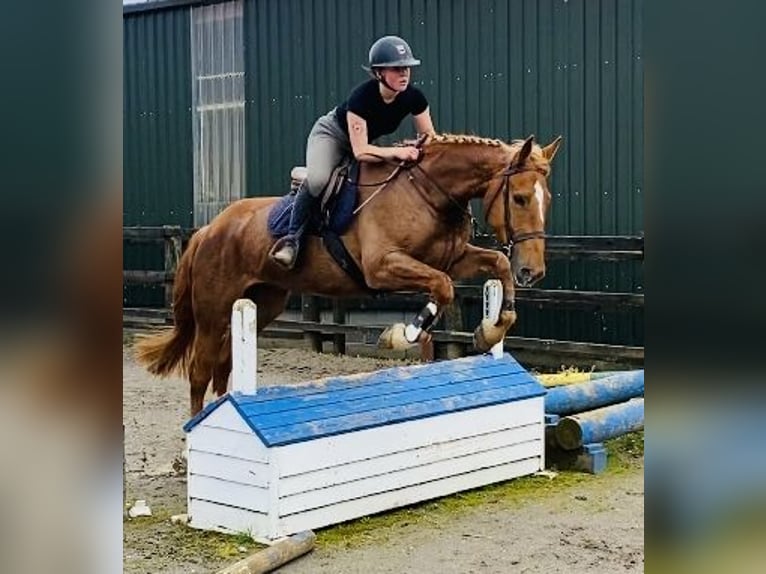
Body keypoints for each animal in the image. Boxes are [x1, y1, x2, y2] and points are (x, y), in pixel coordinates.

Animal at [134, 133, 564, 416]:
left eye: (547, 199)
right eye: (520, 198)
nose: (534, 271)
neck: (429, 193)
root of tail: (209, 229)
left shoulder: (453, 258)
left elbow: (496, 266)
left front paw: (491, 330)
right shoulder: (383, 267)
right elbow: (441, 289)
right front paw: (402, 335)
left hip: (260, 303)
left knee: (223, 364)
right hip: (213, 310)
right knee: (200, 369)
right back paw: (191, 445)